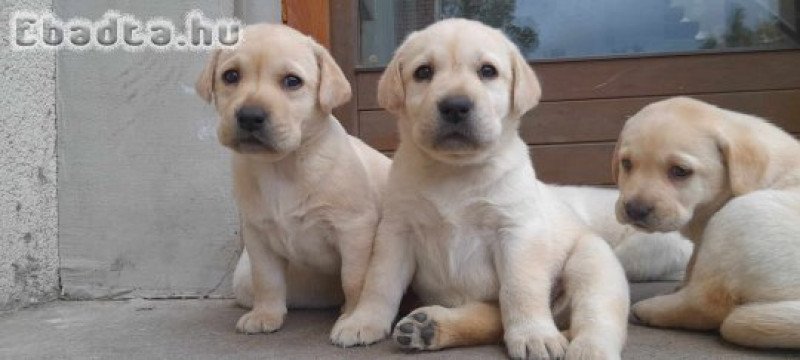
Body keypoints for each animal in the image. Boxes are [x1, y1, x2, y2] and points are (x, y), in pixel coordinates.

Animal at [197, 23, 390, 334]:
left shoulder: (354, 229)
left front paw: (354, 316)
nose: (250, 116)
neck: (282, 166)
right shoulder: (258, 234)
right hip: (245, 279)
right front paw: (266, 315)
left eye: (292, 81)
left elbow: (355, 278)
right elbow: (267, 280)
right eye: (231, 76)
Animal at [328, 18, 628, 358]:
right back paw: (428, 327)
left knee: (595, 315)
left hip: (591, 262)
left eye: (487, 71)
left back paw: (587, 347)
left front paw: (534, 334)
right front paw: (362, 320)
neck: (455, 170)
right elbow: (380, 281)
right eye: (423, 72)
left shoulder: (516, 230)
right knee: (491, 316)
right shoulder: (396, 231)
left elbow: (519, 288)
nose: (455, 106)